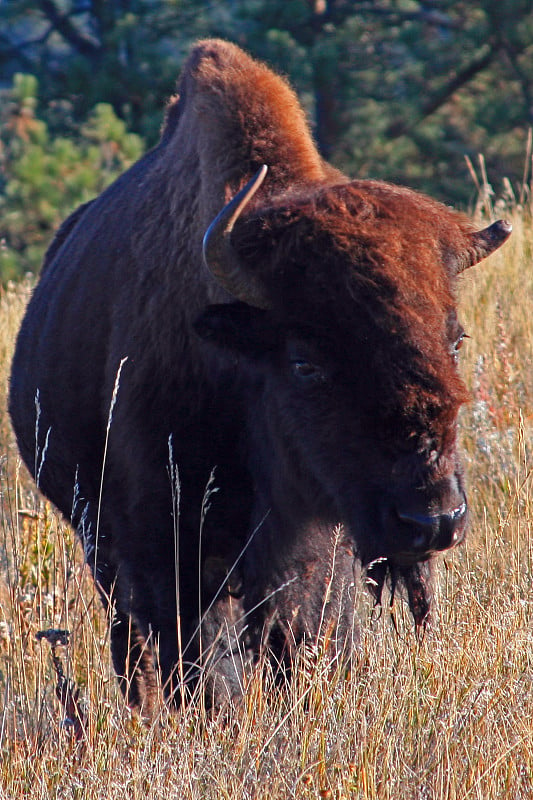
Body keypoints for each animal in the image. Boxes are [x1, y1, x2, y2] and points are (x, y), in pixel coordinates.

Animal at [7, 39, 508, 712]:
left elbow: (308, 638)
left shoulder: (321, 549)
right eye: (305, 363)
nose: (431, 520)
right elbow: (205, 666)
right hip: (97, 534)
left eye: (455, 340)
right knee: (130, 640)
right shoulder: (174, 554)